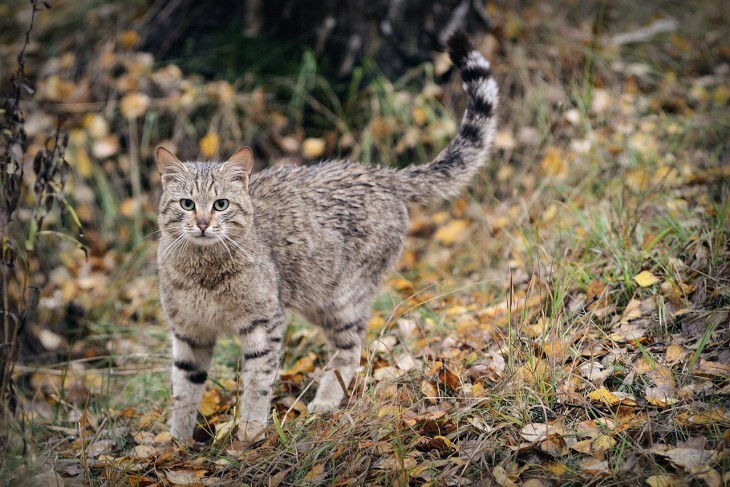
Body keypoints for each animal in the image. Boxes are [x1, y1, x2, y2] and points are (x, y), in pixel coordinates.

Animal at [156, 32, 498, 444]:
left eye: (221, 204)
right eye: (187, 204)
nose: (204, 223)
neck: (203, 272)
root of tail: (380, 173)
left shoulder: (264, 324)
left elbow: (256, 382)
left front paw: (250, 430)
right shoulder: (188, 333)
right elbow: (183, 391)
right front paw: (175, 442)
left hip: (339, 300)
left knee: (348, 351)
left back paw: (325, 400)